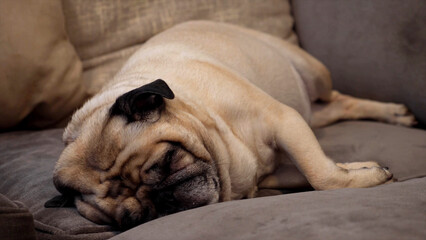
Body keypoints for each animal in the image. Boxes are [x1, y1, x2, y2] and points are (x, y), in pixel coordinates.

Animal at [46, 21, 416, 229]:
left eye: (167, 160)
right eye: (134, 221)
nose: (163, 201)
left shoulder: (283, 120)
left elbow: (320, 174)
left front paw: (363, 175)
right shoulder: (274, 168)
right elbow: (320, 170)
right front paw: (363, 169)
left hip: (315, 73)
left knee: (337, 96)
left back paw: (394, 113)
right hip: (312, 110)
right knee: (336, 107)